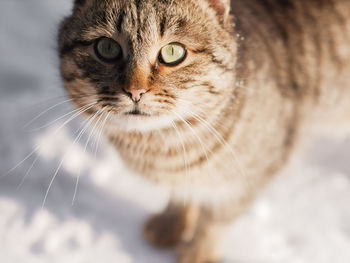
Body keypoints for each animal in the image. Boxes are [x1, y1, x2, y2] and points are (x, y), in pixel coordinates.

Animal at [57, 1, 350, 262]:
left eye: (173, 52)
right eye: (107, 48)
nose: (135, 91)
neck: (162, 145)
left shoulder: (251, 174)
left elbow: (215, 221)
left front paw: (198, 253)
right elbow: (183, 193)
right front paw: (171, 223)